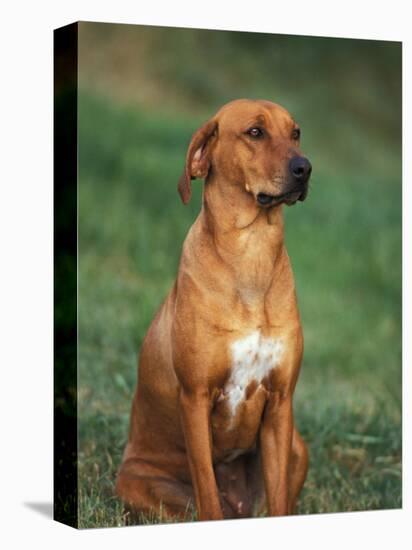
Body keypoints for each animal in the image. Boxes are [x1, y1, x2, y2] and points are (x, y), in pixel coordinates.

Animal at [116, 97, 308, 524]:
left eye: (296, 133)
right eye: (255, 132)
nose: (305, 168)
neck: (251, 254)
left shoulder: (280, 402)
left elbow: (280, 504)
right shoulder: (195, 397)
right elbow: (205, 486)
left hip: (298, 447)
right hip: (137, 484)